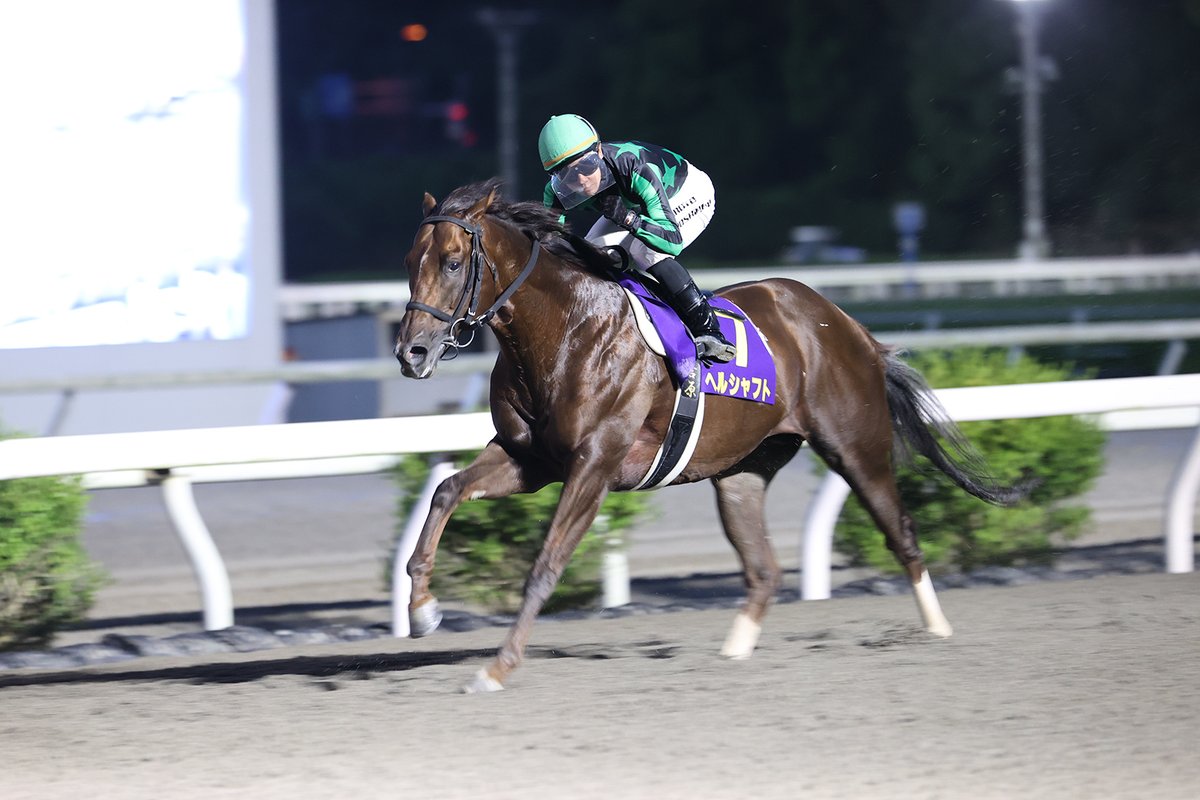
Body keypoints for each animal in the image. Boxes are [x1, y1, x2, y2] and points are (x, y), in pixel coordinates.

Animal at [394, 178, 1031, 693]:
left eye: (452, 262)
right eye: (410, 259)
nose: (411, 352)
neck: (567, 329)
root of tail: (851, 327)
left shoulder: (593, 466)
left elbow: (546, 563)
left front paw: (497, 667)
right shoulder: (529, 460)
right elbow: (447, 490)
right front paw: (423, 609)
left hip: (856, 449)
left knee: (902, 534)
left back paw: (938, 628)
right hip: (742, 473)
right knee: (764, 569)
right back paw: (732, 652)